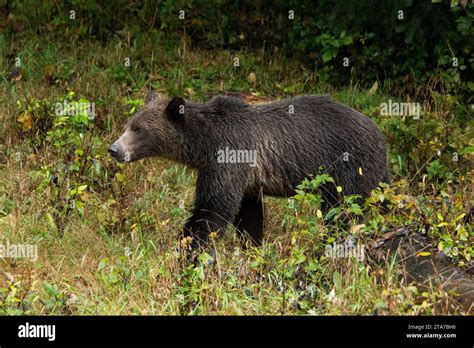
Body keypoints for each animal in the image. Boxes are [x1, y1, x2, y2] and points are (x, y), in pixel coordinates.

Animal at [110, 92, 388, 250]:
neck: (203, 144)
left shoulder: (229, 154)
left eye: (139, 129)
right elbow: (250, 217)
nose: (114, 149)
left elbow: (213, 209)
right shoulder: (247, 180)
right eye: (128, 125)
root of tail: (379, 132)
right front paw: (252, 248)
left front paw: (191, 247)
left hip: (348, 167)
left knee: (344, 212)